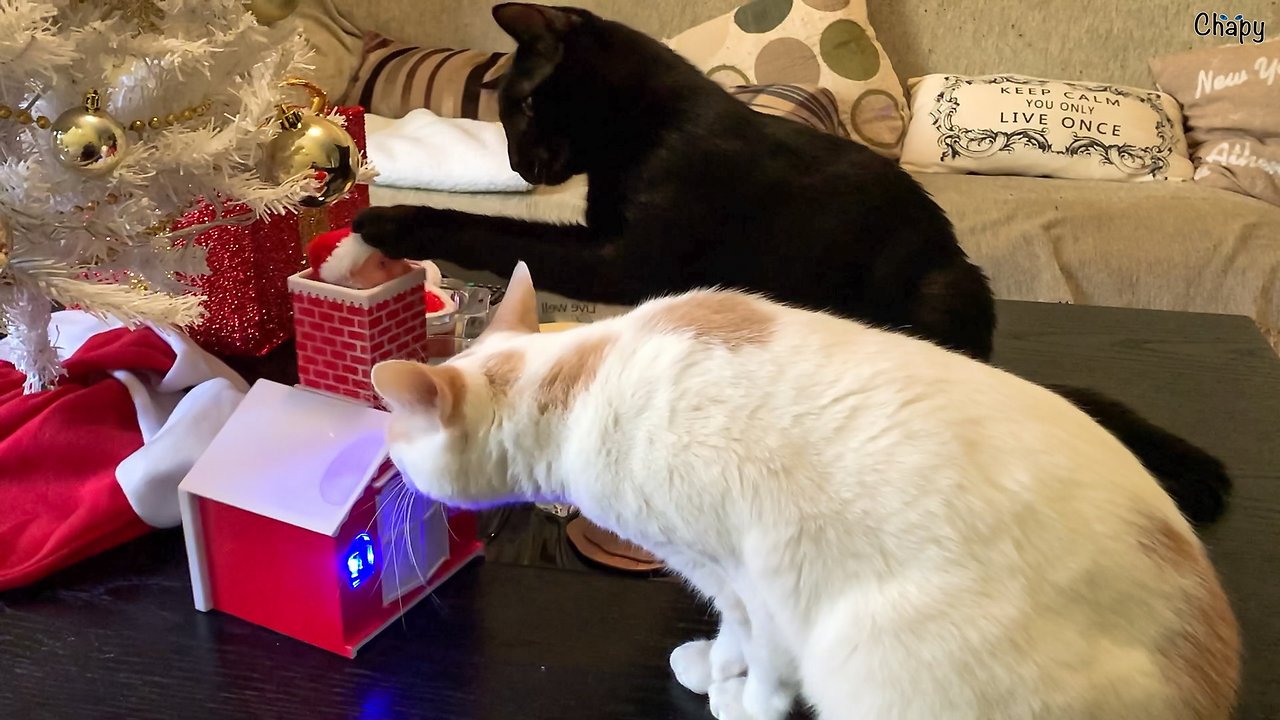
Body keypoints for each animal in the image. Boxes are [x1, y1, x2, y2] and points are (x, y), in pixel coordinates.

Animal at [353, 4, 1228, 520]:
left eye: (527, 105)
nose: (519, 164)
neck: (651, 126)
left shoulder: (623, 256)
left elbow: (491, 230)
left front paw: (392, 218)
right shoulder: (612, 249)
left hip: (946, 285)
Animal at [371, 262, 1239, 717]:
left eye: (396, 440)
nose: (383, 458)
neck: (578, 375)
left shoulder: (762, 570)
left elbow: (767, 653)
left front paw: (748, 701)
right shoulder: (729, 577)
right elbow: (734, 631)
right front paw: (715, 668)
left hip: (874, 648)